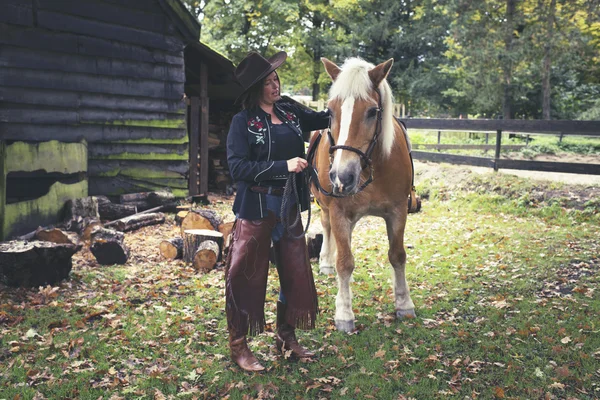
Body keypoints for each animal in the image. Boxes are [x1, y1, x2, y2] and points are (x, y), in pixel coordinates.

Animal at [310, 55, 418, 332]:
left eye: (372, 112)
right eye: (330, 111)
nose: (342, 176)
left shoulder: (398, 211)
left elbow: (397, 255)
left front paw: (404, 303)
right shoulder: (338, 211)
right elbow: (345, 262)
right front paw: (344, 313)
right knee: (327, 228)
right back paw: (326, 261)